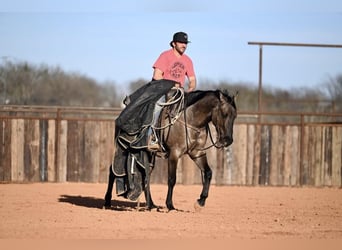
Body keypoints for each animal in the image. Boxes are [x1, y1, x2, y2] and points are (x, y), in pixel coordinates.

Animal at [104, 87, 236, 210]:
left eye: (234, 116)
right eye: (224, 114)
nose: (228, 140)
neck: (191, 119)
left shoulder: (197, 153)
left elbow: (208, 173)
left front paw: (201, 201)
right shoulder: (174, 153)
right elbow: (172, 179)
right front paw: (170, 205)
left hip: (148, 154)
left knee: (146, 175)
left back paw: (151, 204)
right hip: (123, 148)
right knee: (113, 170)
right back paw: (107, 201)